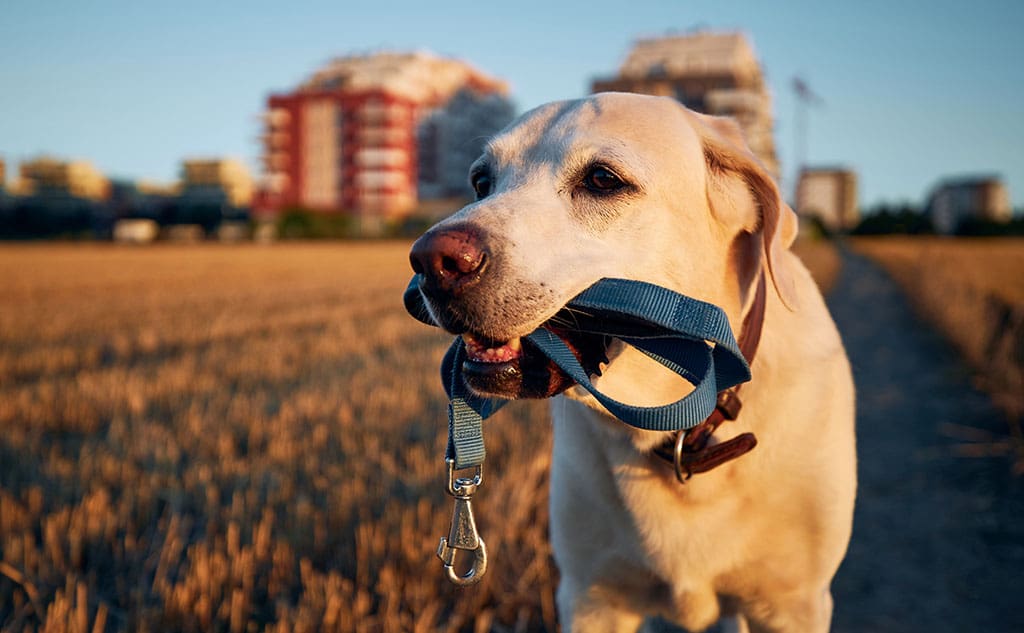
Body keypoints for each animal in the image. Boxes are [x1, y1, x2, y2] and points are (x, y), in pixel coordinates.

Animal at [407, 91, 856, 626]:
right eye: (481, 183)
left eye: (602, 180)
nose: (430, 262)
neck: (680, 424)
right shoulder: (591, 597)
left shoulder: (793, 604)